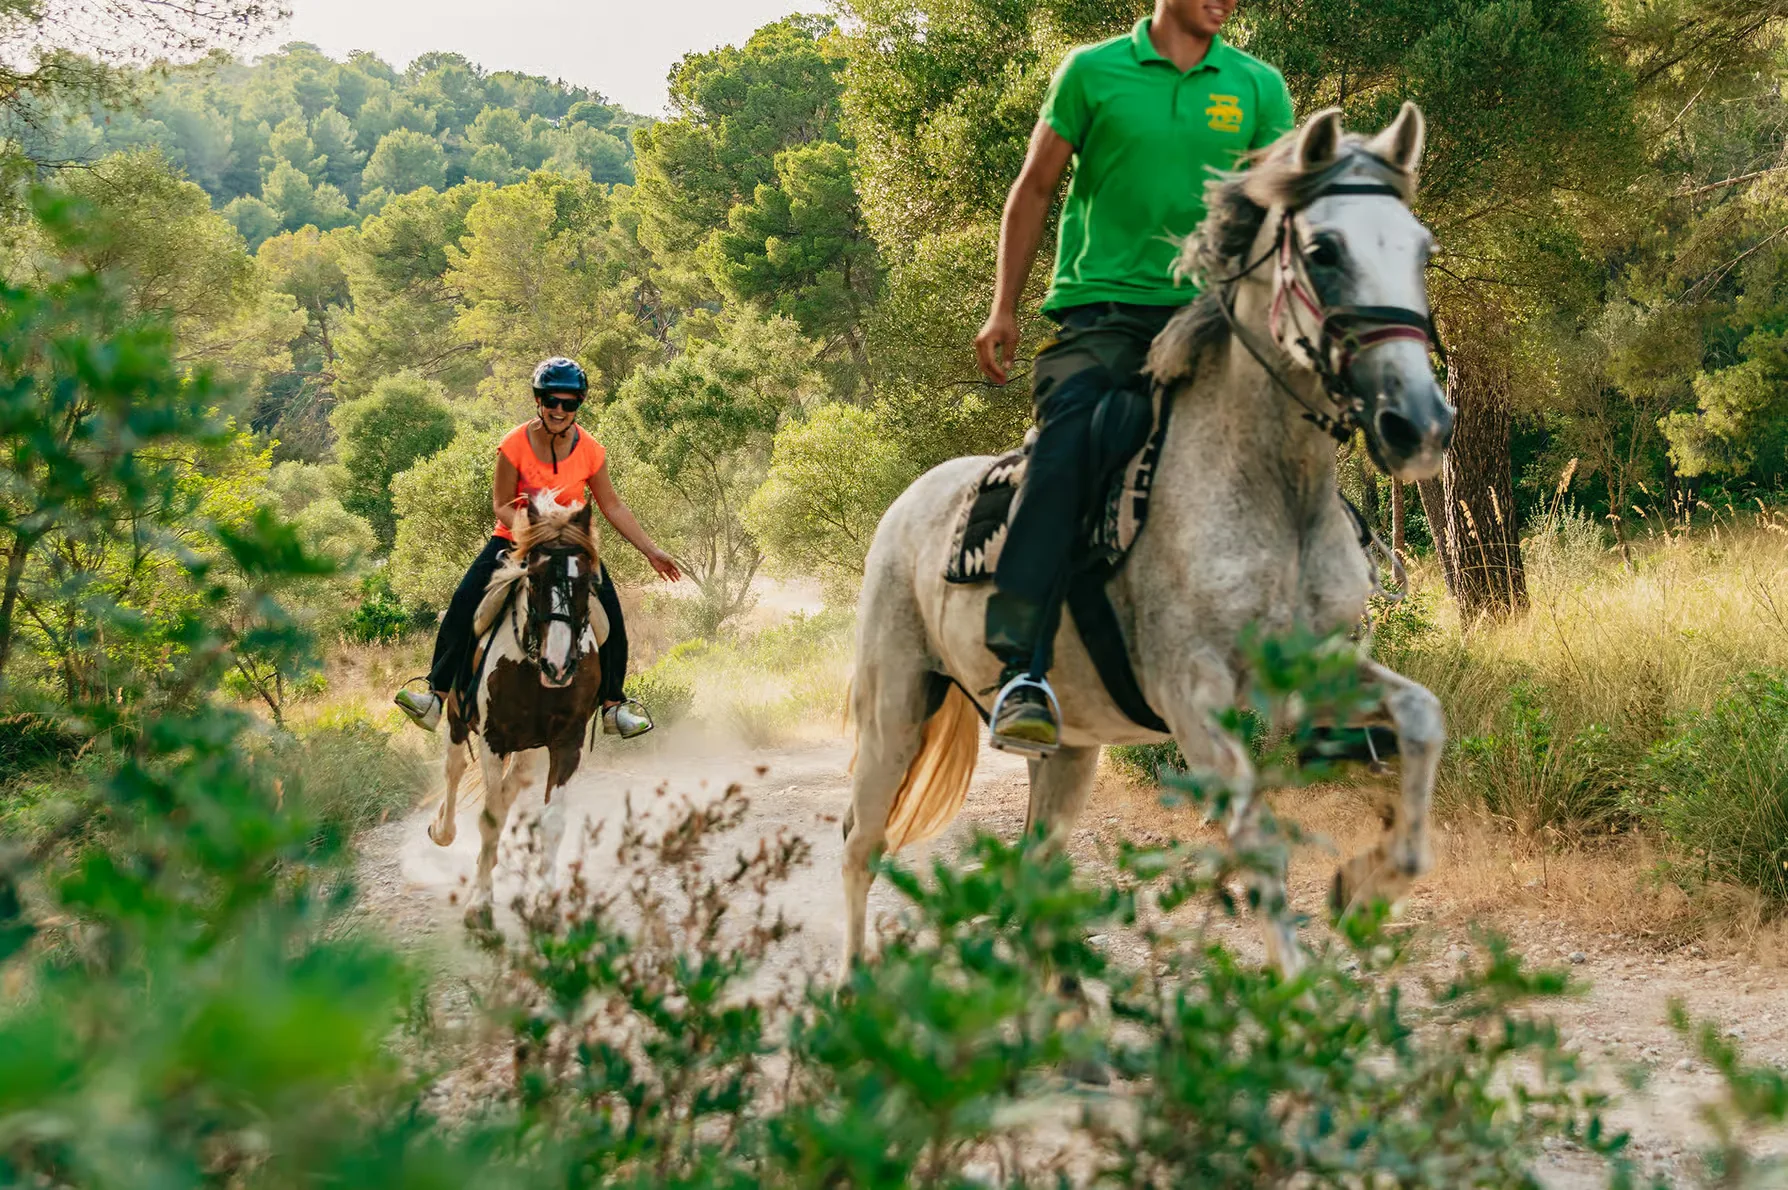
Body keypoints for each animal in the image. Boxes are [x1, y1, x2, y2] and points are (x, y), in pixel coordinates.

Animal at [426, 491, 609, 929]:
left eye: (585, 582)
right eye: (535, 578)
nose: (558, 666)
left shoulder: (567, 744)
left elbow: (551, 822)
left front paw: (545, 902)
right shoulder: (494, 739)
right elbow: (490, 818)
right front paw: (479, 902)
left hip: (528, 748)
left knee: (512, 786)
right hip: (457, 717)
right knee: (455, 769)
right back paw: (442, 829)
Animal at [842, 102, 1455, 975]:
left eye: (1421, 249)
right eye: (1323, 251)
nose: (1421, 424)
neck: (1273, 497)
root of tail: (907, 504)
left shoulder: (1318, 672)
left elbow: (1423, 718)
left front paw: (1364, 884)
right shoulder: (1193, 698)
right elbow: (1258, 844)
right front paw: (1298, 991)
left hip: (1068, 749)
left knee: (1033, 867)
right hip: (894, 710)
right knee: (861, 844)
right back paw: (851, 987)